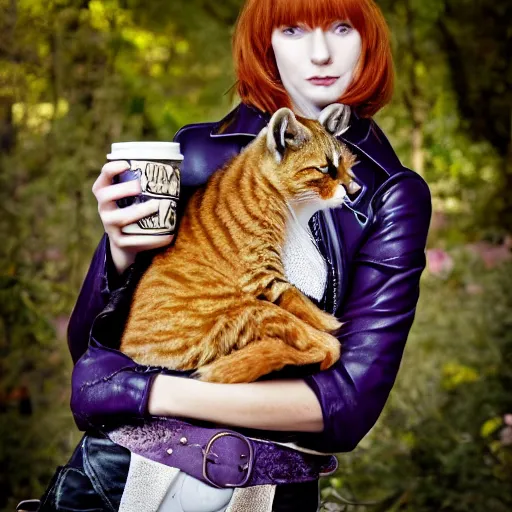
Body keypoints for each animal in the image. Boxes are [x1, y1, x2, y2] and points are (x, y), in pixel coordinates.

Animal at [120, 105, 360, 384]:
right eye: (324, 168)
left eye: (343, 163)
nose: (355, 189)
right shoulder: (263, 275)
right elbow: (302, 304)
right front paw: (330, 323)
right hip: (249, 309)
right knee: (316, 343)